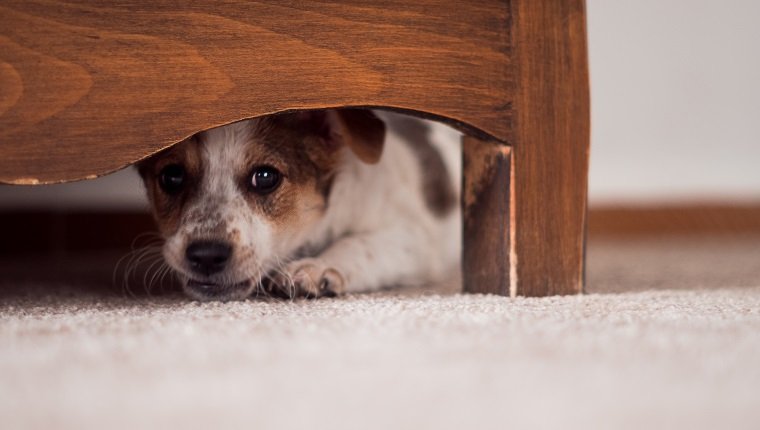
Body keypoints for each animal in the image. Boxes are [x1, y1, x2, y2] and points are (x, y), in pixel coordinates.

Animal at [137, 109, 460, 300]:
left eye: (265, 177)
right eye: (172, 176)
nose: (206, 255)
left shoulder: (413, 237)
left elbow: (359, 243)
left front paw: (317, 266)